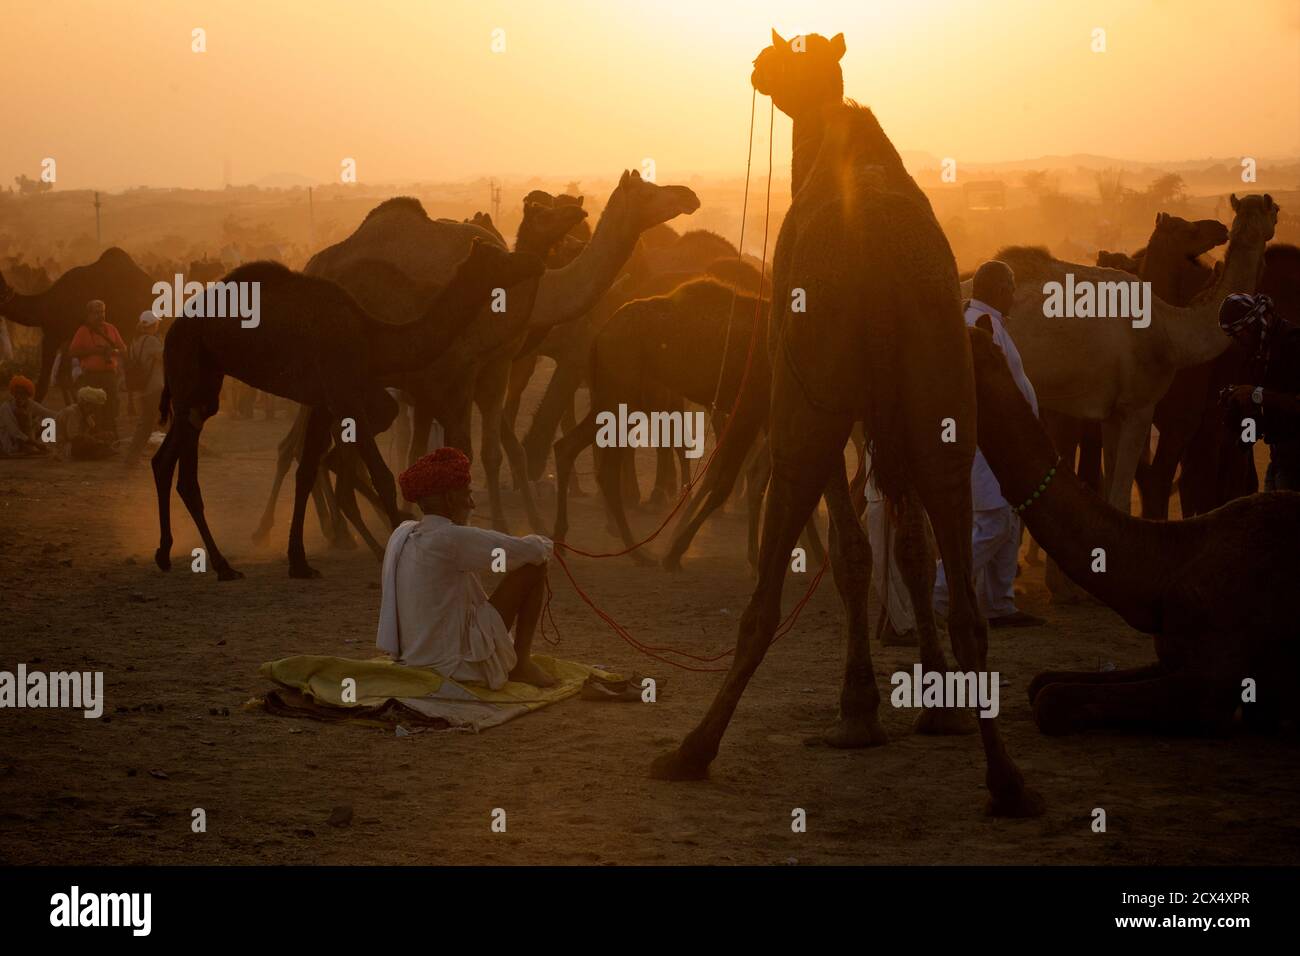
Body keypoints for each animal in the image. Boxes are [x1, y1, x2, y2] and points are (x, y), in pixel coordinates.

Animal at [154, 243, 546, 580]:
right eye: (499, 258)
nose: (533, 260)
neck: (372, 337)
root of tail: (171, 329)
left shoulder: (323, 400)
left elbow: (306, 472)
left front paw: (299, 562)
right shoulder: (345, 394)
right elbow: (383, 476)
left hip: (202, 383)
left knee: (163, 458)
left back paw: (164, 553)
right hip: (190, 367)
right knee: (187, 476)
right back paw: (222, 566)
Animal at [650, 33, 1045, 816]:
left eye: (788, 52)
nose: (757, 64)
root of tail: (884, 263)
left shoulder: (817, 389)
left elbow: (853, 549)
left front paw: (858, 714)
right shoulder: (892, 415)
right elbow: (912, 548)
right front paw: (935, 707)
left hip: (812, 394)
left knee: (774, 582)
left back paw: (693, 748)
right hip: (941, 386)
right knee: (960, 579)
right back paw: (1007, 780)